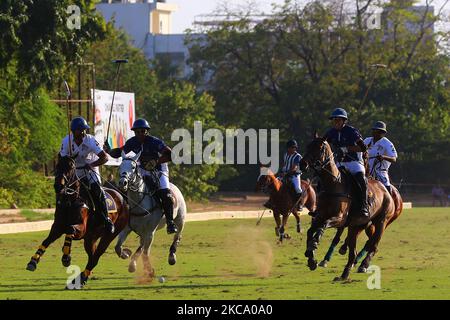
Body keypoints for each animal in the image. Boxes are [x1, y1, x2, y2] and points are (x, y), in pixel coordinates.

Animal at [25, 156, 128, 288]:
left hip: (110, 234)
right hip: (91, 238)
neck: (70, 200)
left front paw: (66, 257)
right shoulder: (57, 227)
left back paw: (80, 279)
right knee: (92, 256)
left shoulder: (81, 229)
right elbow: (47, 240)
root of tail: (122, 198)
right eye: (57, 166)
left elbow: (70, 229)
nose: (58, 186)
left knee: (96, 256)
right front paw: (33, 261)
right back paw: (81, 279)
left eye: (71, 167)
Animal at [300, 136, 396, 282]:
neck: (334, 183)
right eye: (308, 146)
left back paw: (363, 265)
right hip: (355, 225)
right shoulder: (319, 215)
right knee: (353, 251)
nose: (302, 164)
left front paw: (314, 244)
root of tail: (385, 188)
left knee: (373, 246)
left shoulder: (339, 218)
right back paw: (344, 274)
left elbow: (323, 225)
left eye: (320, 148)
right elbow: (310, 231)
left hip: (381, 221)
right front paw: (311, 259)